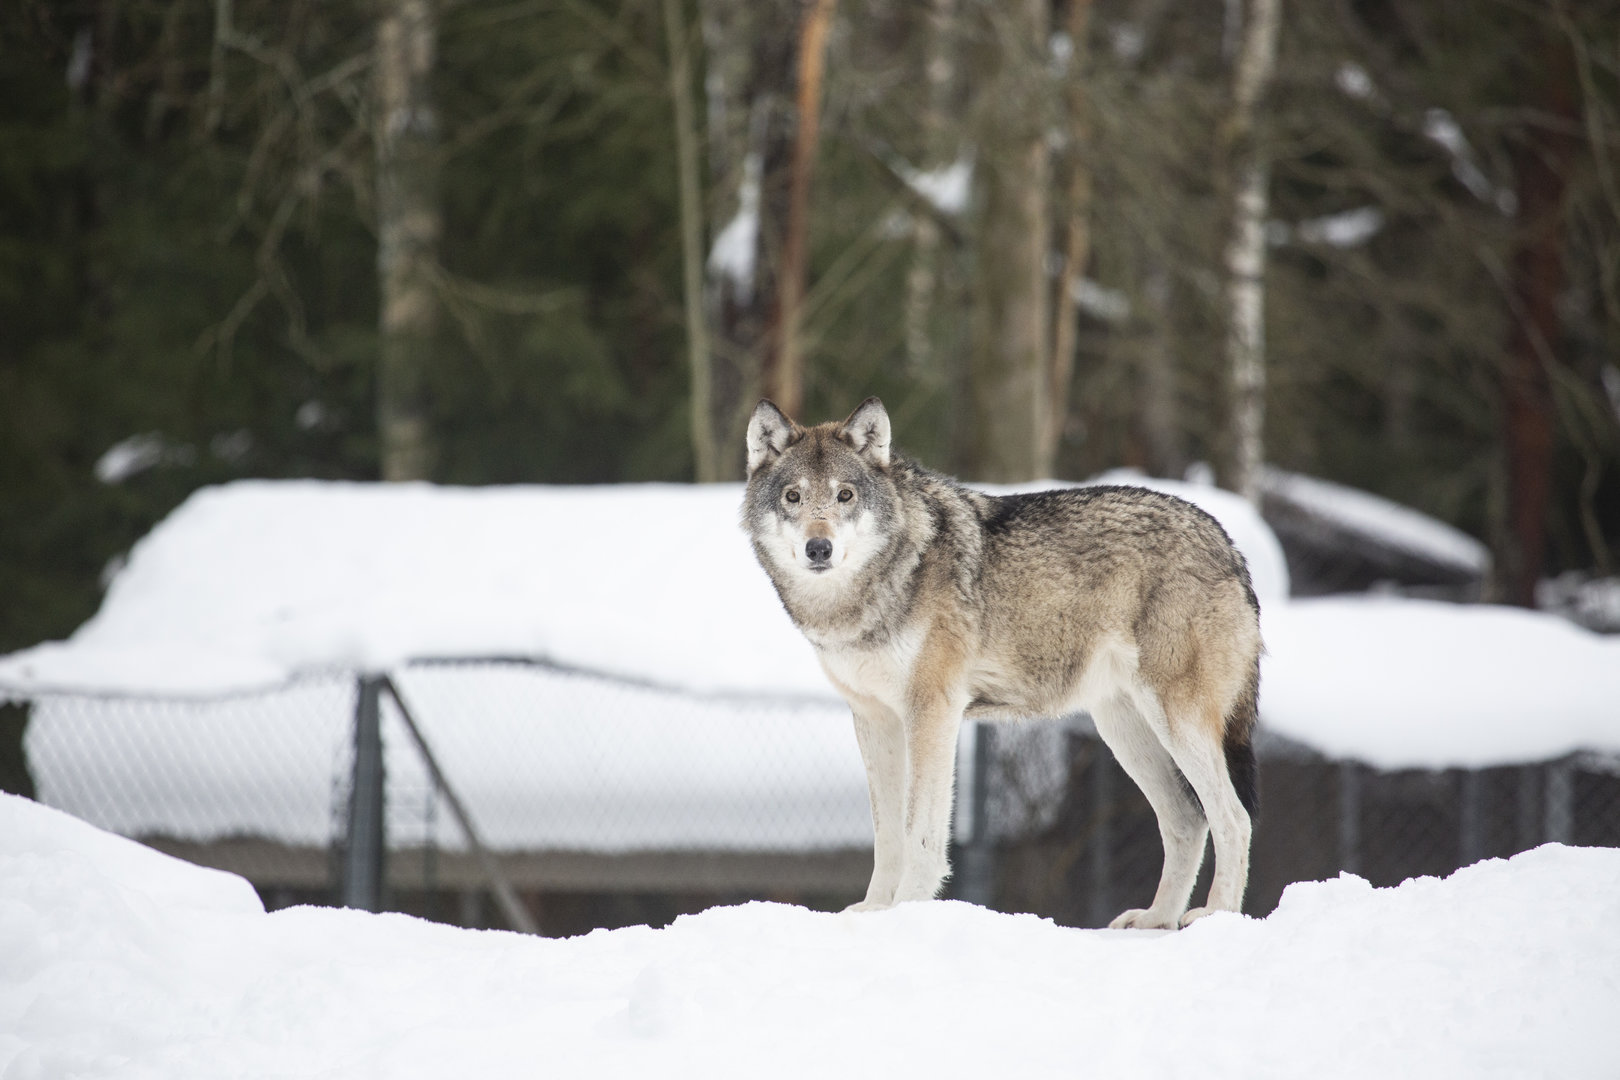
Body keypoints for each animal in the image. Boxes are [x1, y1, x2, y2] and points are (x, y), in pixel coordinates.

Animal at [742, 397, 1261, 928]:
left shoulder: (932, 711)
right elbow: (886, 835)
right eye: (793, 497)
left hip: (1176, 723)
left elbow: (918, 832)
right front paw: (874, 911)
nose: (818, 548)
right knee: (1186, 819)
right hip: (1124, 730)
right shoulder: (874, 718)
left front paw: (907, 908)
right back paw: (1156, 919)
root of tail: (1229, 545)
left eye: (844, 495)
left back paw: (1215, 915)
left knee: (1233, 817)